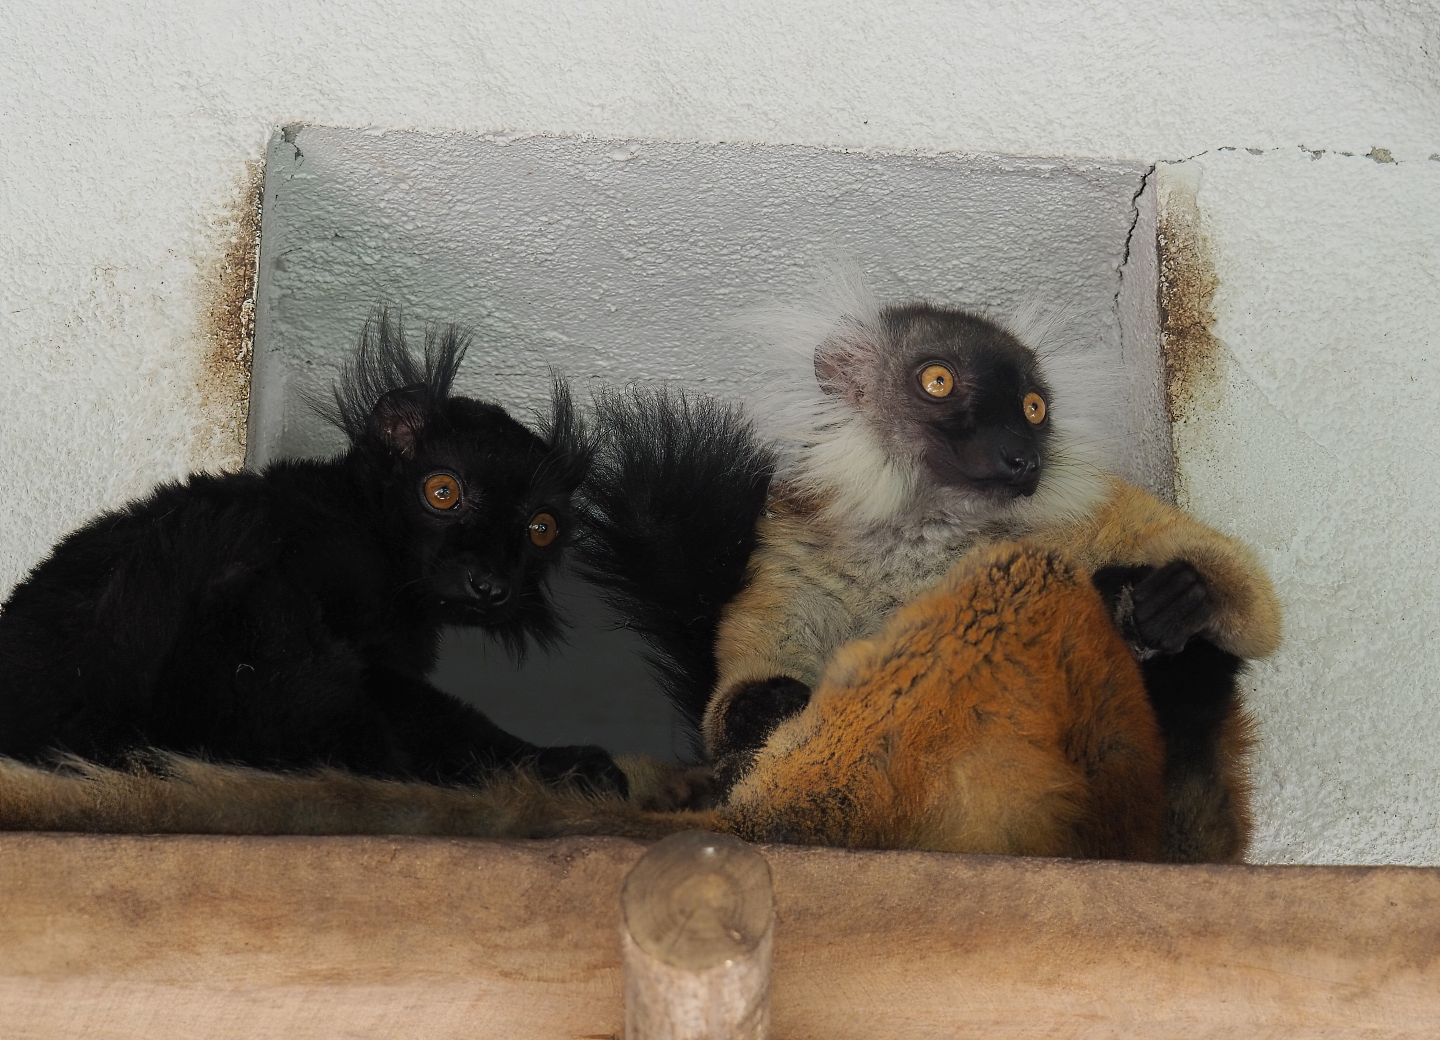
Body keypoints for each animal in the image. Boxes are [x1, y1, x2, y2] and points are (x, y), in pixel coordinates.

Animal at [0, 312, 625, 794]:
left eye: (541, 528)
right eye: (442, 492)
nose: (489, 584)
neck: (374, 533)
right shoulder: (335, 564)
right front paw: (559, 765)